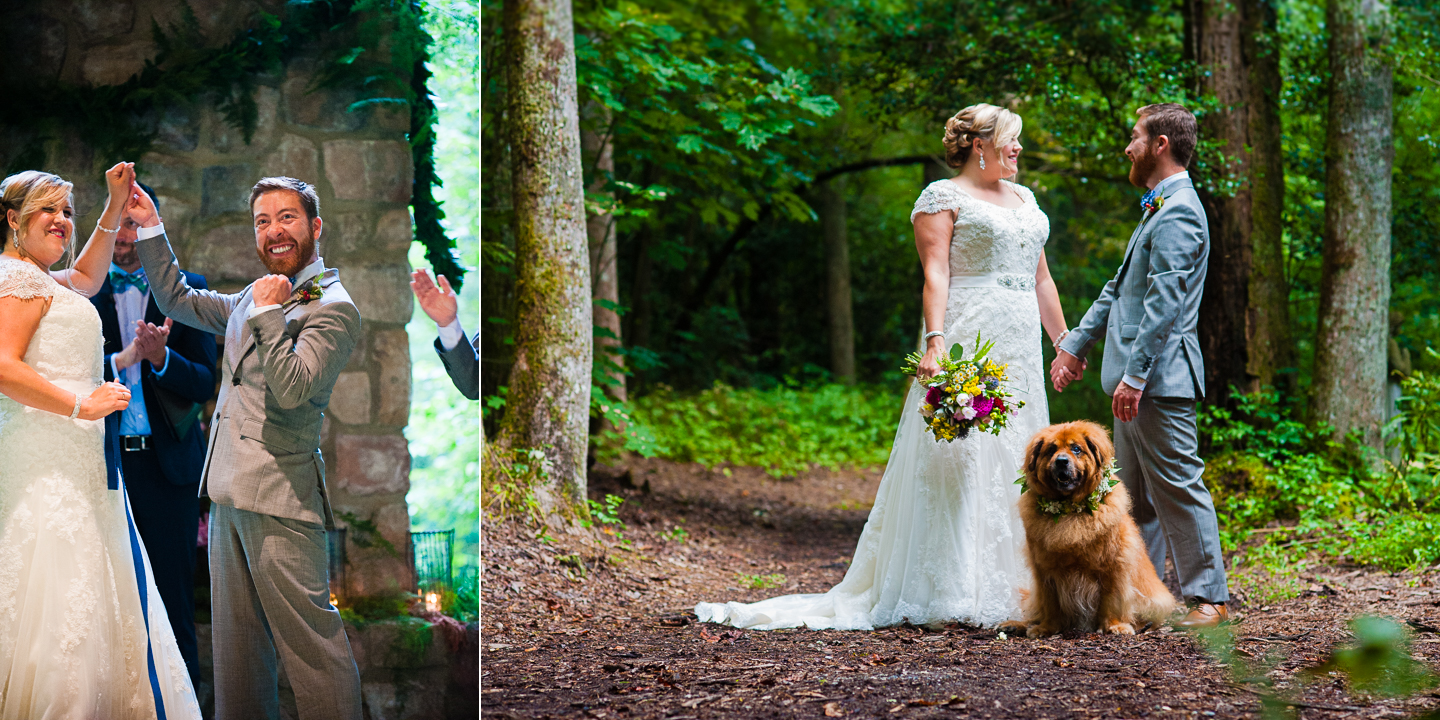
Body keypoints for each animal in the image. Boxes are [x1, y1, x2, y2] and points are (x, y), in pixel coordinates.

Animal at [1002, 420, 1180, 636]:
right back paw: (1014, 625)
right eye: (1051, 449)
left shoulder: (1112, 565)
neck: (1070, 512)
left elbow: (1111, 600)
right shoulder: (1044, 569)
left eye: (1076, 449)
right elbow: (1050, 603)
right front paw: (1046, 628)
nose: (1061, 461)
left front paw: (1114, 625)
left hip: (1154, 599)